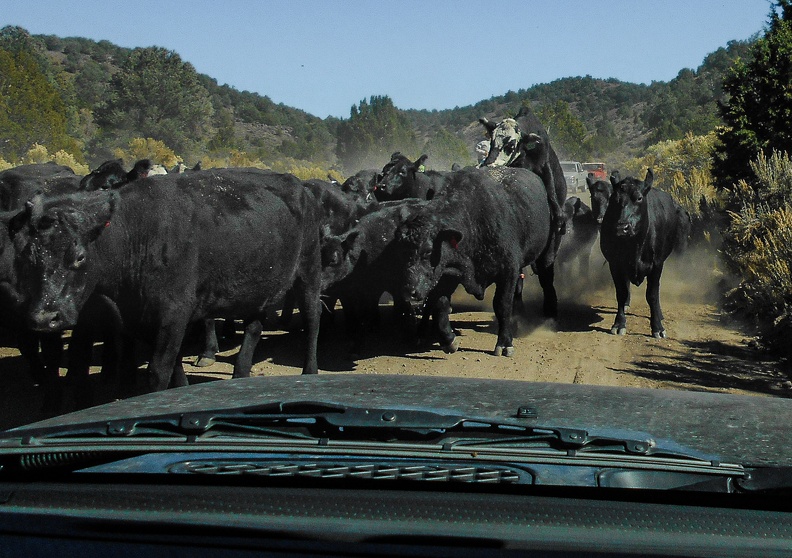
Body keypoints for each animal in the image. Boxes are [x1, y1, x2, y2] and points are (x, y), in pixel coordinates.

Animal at [11, 168, 324, 392]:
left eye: (78, 256)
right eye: (27, 255)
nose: (43, 318)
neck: (137, 232)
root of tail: (300, 185)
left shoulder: (173, 314)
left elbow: (159, 370)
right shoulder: (143, 319)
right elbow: (174, 366)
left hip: (308, 273)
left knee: (312, 320)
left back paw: (310, 371)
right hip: (256, 289)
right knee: (254, 329)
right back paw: (240, 374)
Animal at [394, 167, 552, 358]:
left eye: (428, 251)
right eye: (401, 252)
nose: (409, 292)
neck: (474, 222)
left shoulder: (508, 271)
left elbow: (502, 305)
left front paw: (504, 342)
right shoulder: (448, 273)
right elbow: (439, 304)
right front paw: (447, 339)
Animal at [600, 170, 692, 336]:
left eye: (639, 198)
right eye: (614, 199)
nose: (622, 227)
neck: (634, 246)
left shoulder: (657, 265)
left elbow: (652, 295)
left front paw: (657, 327)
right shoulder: (615, 264)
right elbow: (621, 293)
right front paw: (619, 323)